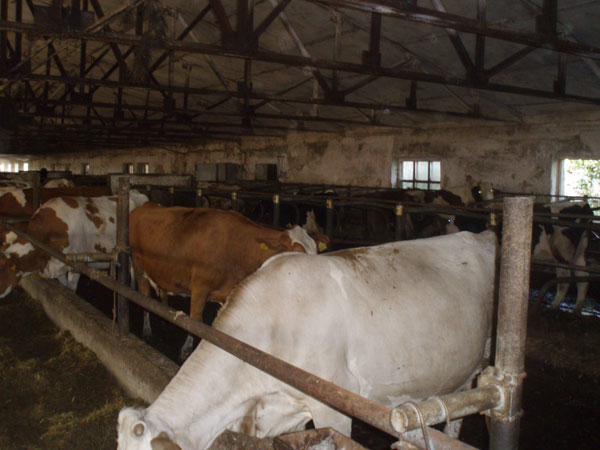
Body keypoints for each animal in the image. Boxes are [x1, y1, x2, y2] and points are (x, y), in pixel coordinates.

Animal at [129, 203, 324, 360]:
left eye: (316, 251)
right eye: (297, 252)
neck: (238, 249)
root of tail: (144, 206)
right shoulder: (199, 288)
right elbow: (195, 321)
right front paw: (186, 351)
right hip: (139, 266)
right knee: (143, 295)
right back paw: (146, 330)